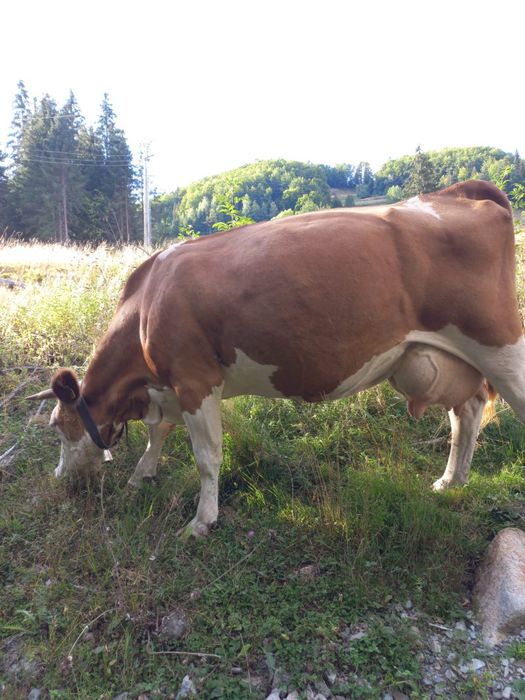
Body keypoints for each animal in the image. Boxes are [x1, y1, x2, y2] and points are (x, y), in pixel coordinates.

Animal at [28, 180, 525, 538]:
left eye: (56, 426)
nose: (58, 476)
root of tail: (458, 193)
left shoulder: (194, 379)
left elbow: (206, 457)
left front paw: (201, 521)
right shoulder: (167, 385)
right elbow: (159, 434)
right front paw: (141, 475)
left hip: (500, 344)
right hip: (451, 360)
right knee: (467, 412)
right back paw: (451, 481)